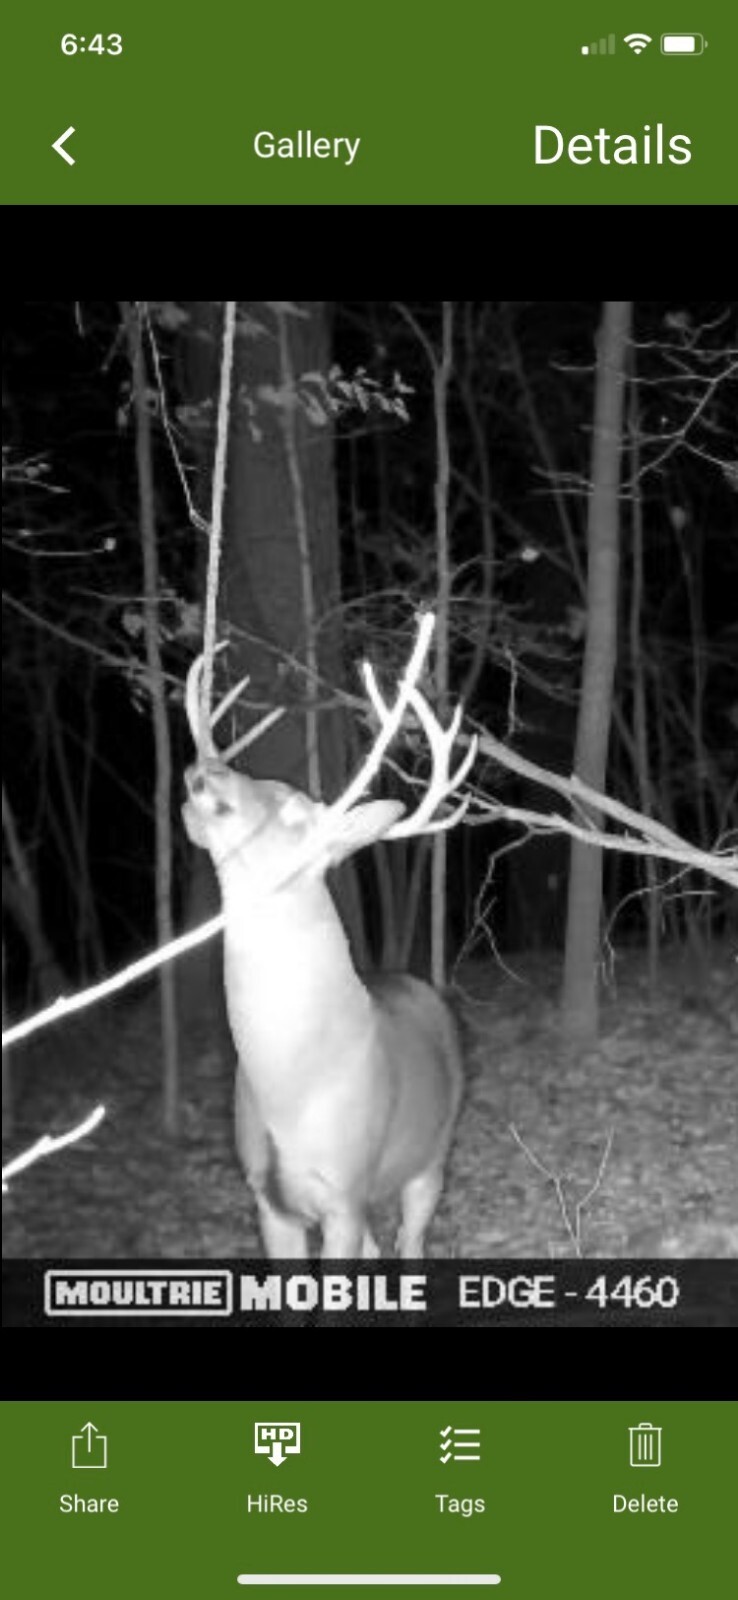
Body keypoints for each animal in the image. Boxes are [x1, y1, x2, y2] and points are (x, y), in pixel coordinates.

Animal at [182, 613, 477, 1259]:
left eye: (296, 811)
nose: (207, 773)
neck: (292, 1089)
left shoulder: (345, 1188)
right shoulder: (268, 1197)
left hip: (432, 1155)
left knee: (410, 1245)